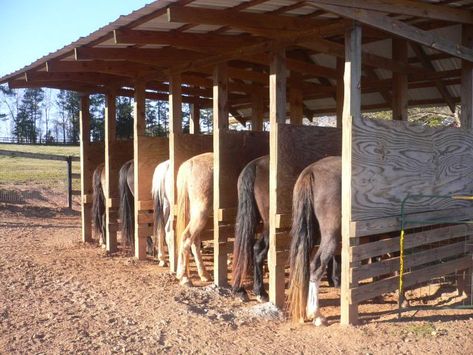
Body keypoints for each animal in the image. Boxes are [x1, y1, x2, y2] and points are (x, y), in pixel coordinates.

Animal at [230, 156, 338, 304]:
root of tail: (254, 165)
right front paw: (335, 279)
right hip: (269, 226)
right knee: (258, 250)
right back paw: (260, 292)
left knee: (244, 247)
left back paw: (240, 290)